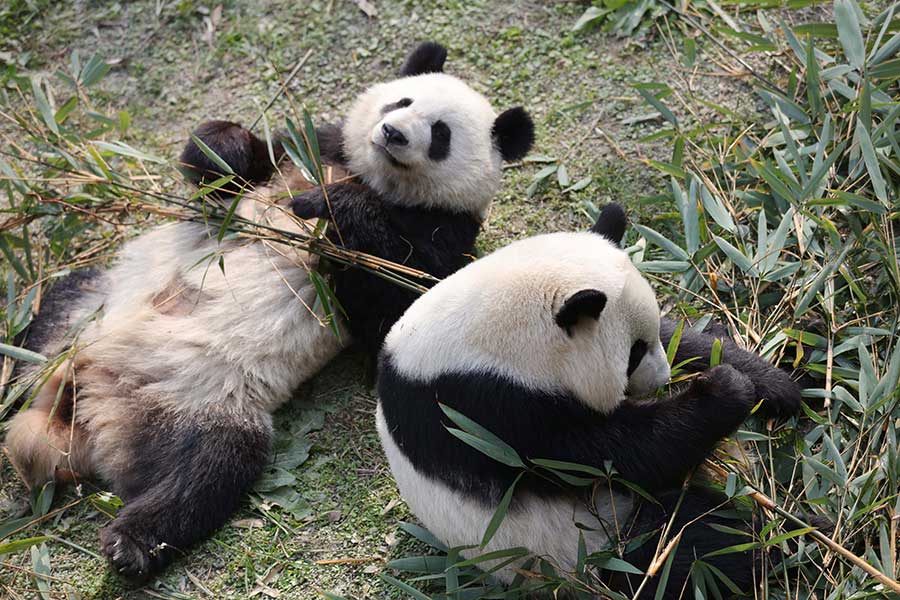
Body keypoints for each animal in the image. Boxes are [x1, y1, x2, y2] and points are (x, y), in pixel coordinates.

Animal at [185, 42, 536, 356]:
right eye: (401, 102)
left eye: (440, 134)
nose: (393, 133)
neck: (377, 180)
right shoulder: (316, 151)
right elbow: (229, 175)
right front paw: (223, 148)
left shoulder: (448, 225)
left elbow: (398, 291)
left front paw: (326, 202)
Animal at [376, 204, 800, 596]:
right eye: (633, 354)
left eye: (647, 344)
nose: (663, 380)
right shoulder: (487, 413)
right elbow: (614, 455)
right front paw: (725, 389)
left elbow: (683, 341)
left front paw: (773, 384)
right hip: (584, 545)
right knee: (692, 548)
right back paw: (767, 546)